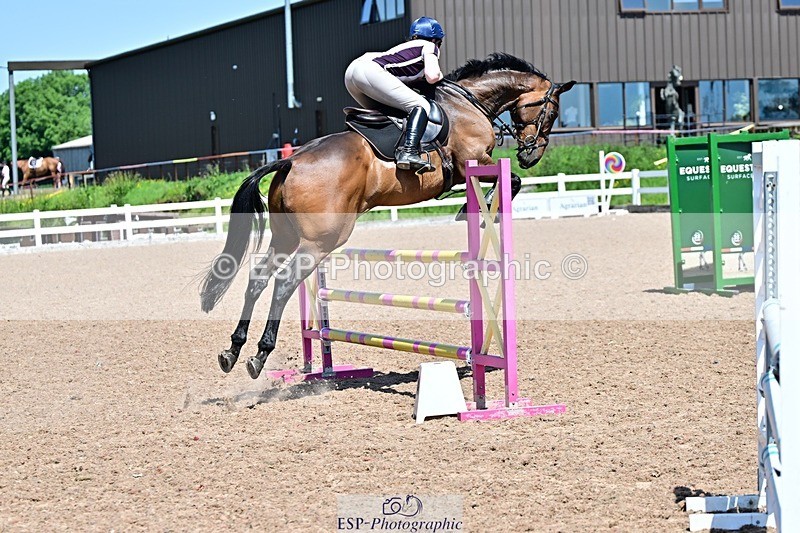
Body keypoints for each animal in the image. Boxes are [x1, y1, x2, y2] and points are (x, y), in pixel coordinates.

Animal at [200, 53, 575, 379]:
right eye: (553, 111)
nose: (531, 155)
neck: (469, 103)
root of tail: (290, 160)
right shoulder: (474, 161)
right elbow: (512, 180)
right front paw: (476, 211)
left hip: (286, 236)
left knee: (258, 278)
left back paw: (234, 351)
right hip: (320, 241)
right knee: (284, 283)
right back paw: (260, 354)